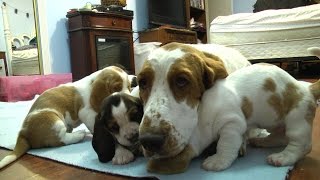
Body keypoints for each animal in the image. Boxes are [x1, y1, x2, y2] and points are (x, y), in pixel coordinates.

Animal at [0, 65, 132, 169]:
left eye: (130, 87)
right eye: (116, 88)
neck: (92, 85)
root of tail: (23, 132)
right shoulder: (86, 113)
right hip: (54, 120)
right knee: (61, 139)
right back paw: (79, 135)